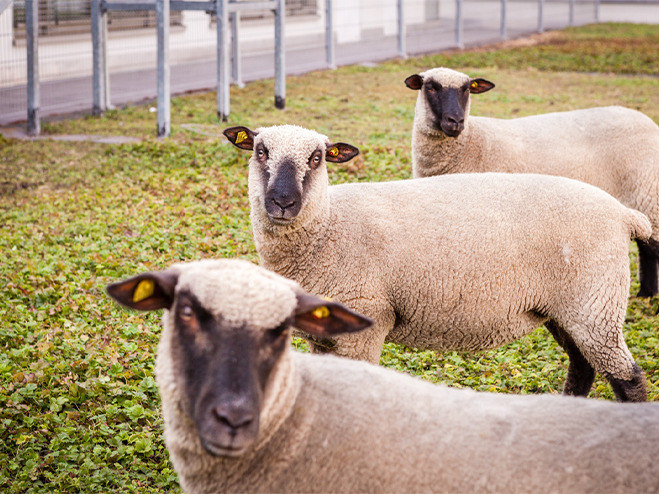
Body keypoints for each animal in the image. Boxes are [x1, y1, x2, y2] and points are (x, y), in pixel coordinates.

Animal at [105, 258, 659, 494]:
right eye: (185, 311)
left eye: (281, 329)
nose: (234, 419)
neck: (298, 418)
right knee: (584, 365)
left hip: (592, 306)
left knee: (626, 376)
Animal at [224, 123, 652, 402]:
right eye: (260, 151)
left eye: (316, 158)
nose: (282, 202)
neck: (330, 228)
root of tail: (624, 215)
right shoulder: (326, 337)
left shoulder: (366, 325)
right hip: (569, 309)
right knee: (583, 367)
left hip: (595, 304)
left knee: (627, 378)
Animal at [404, 65, 659, 298]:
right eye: (430, 87)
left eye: (467, 89)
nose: (455, 121)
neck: (471, 142)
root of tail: (646, 121)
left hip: (648, 190)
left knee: (651, 246)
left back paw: (648, 295)